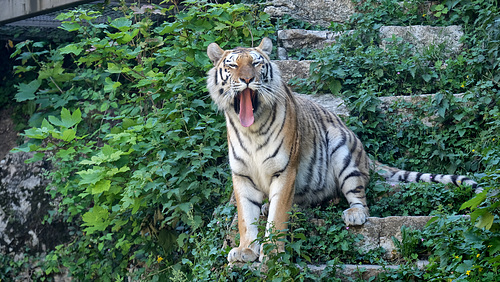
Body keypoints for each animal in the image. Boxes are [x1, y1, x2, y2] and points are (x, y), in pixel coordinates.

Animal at [205, 37, 478, 262]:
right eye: (232, 66)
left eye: (256, 63)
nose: (247, 80)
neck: (251, 130)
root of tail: (367, 156)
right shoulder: (242, 175)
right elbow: (245, 217)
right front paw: (245, 250)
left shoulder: (285, 171)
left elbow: (278, 216)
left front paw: (272, 251)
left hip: (340, 148)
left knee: (359, 199)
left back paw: (354, 214)